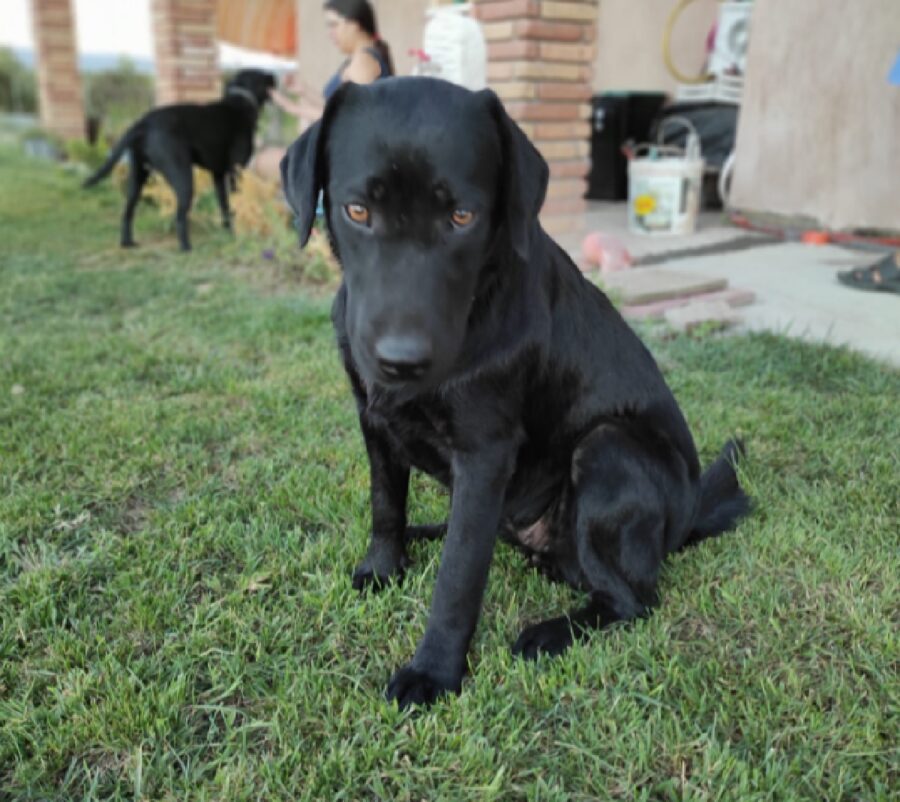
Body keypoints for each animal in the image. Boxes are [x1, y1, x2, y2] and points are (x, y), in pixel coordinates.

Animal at [84, 69, 274, 250]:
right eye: (264, 76)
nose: (274, 77)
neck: (239, 101)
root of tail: (144, 122)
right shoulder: (236, 171)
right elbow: (237, 202)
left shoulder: (218, 175)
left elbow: (225, 205)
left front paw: (229, 232)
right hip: (183, 178)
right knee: (180, 216)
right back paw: (186, 247)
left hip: (137, 179)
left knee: (127, 212)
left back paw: (127, 243)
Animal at [282, 78, 752, 708]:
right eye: (358, 210)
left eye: (462, 216)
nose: (401, 361)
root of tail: (689, 518)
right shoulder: (373, 419)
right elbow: (386, 505)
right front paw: (385, 566)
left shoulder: (485, 453)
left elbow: (458, 576)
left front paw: (434, 672)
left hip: (608, 447)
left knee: (633, 599)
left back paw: (552, 632)